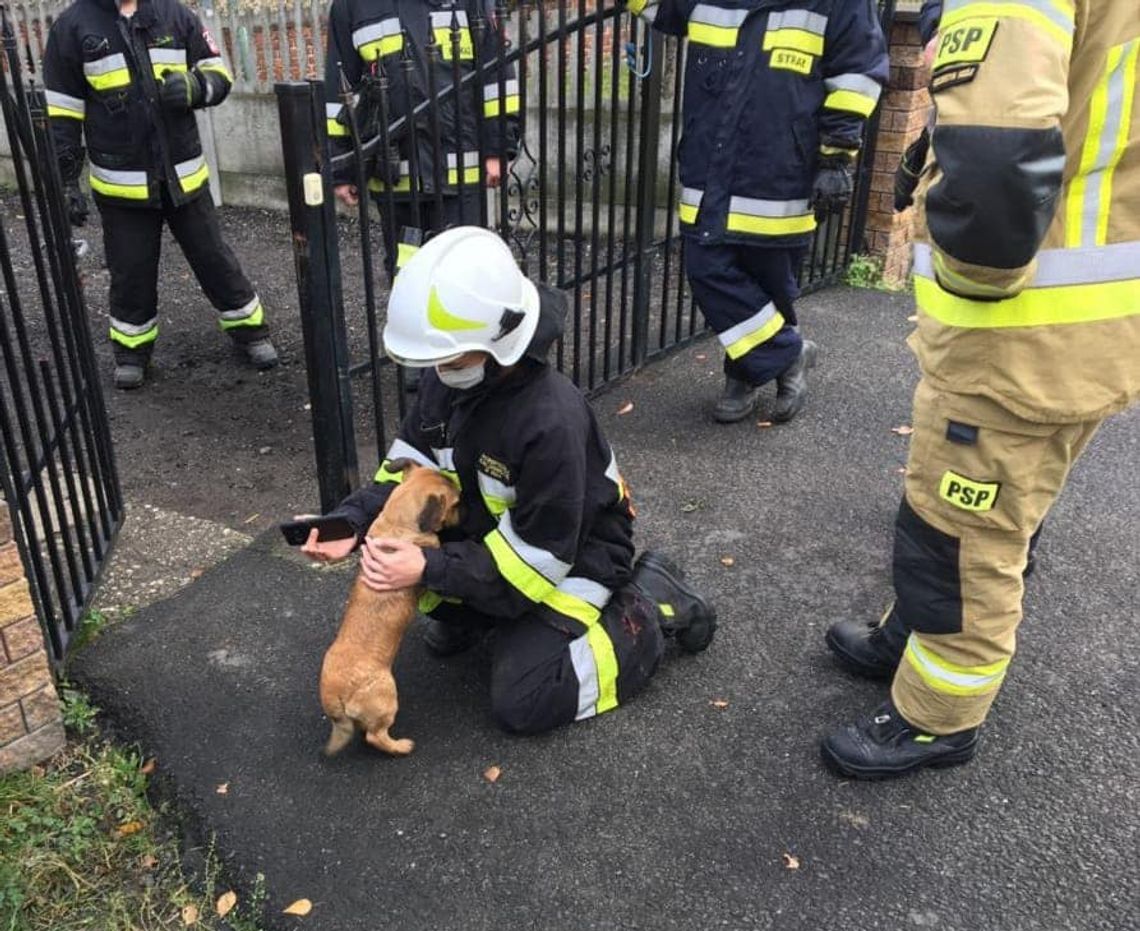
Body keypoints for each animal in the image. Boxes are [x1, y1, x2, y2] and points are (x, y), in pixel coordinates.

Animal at [316, 460, 458, 756]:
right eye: (456, 504)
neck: (397, 522)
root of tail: (334, 696)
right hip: (388, 697)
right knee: (375, 736)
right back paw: (401, 746)